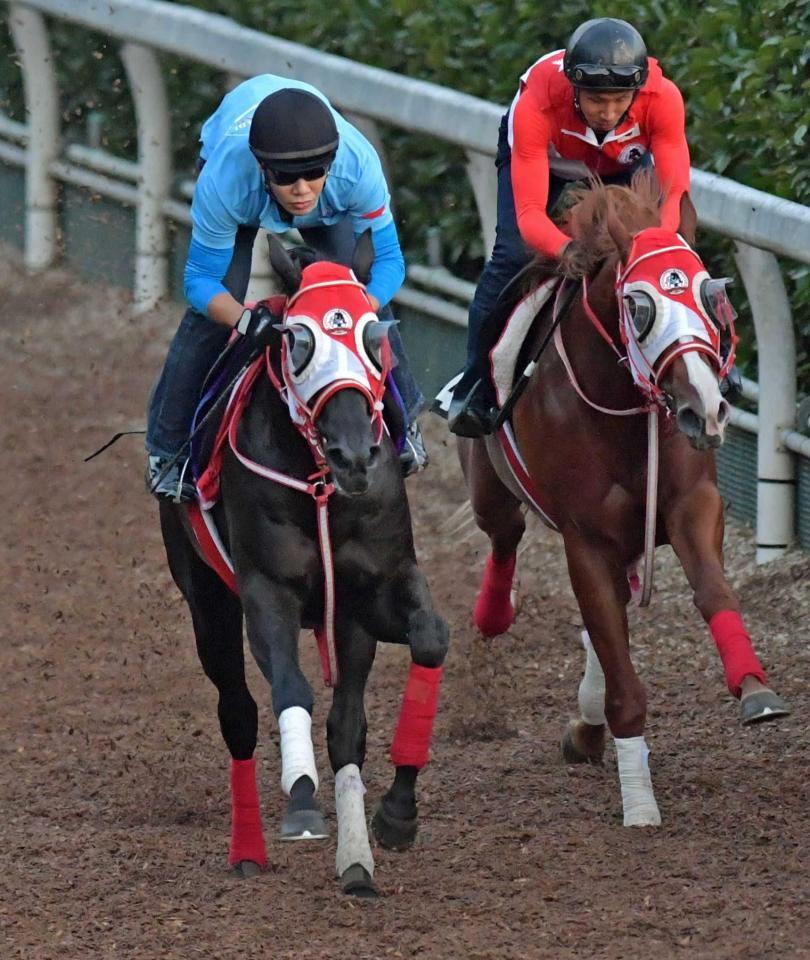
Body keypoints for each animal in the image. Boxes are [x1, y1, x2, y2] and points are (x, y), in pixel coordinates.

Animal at [158, 234, 448, 900]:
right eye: (298, 340)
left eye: (373, 334)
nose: (355, 454)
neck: (320, 486)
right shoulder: (269, 591)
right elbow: (290, 689)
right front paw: (302, 799)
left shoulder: (375, 591)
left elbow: (428, 641)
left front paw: (396, 815)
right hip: (208, 602)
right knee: (238, 713)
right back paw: (249, 850)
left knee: (345, 727)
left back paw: (357, 862)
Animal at [458, 176, 784, 828]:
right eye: (639, 305)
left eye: (709, 292)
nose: (706, 408)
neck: (623, 406)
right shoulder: (587, 538)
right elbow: (618, 664)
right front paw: (640, 805)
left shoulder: (691, 503)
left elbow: (712, 593)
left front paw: (755, 689)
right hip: (489, 484)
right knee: (505, 535)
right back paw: (495, 614)